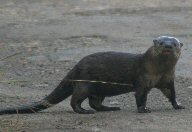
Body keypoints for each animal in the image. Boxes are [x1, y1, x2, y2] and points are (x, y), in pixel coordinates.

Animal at [0, 35, 184, 114]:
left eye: (174, 43)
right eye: (160, 42)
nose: (168, 46)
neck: (158, 72)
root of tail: (76, 66)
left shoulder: (167, 80)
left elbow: (172, 94)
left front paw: (178, 105)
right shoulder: (142, 80)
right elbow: (140, 97)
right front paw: (144, 109)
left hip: (99, 89)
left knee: (95, 102)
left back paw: (110, 108)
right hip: (85, 83)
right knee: (75, 100)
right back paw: (84, 111)